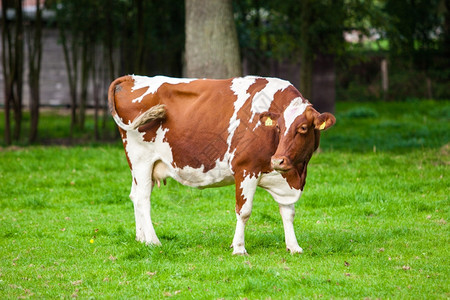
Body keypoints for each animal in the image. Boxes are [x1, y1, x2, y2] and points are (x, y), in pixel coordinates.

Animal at [108, 74, 334, 254]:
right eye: (278, 127)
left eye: (303, 128)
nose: (278, 160)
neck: (296, 175)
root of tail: (131, 77)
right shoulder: (246, 168)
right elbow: (244, 211)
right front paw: (239, 248)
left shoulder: (285, 176)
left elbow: (288, 212)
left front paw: (294, 247)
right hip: (140, 159)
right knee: (142, 198)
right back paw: (153, 241)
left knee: (135, 195)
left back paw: (141, 238)